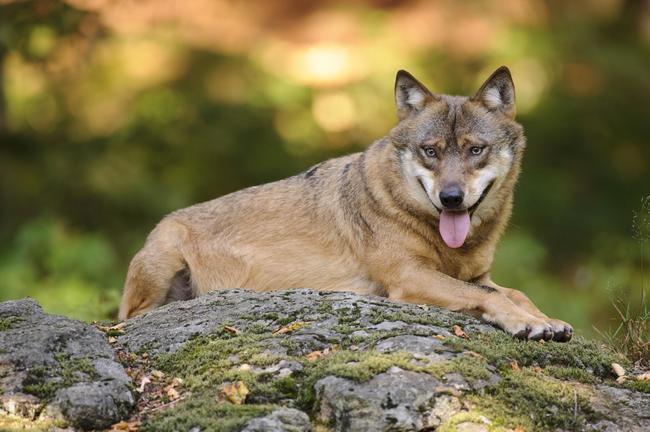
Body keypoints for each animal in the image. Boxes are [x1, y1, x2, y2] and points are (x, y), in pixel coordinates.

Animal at [117, 67, 572, 342]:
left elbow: (515, 292)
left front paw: (545, 320)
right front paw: (528, 324)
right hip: (163, 256)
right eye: (431, 151)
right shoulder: (409, 277)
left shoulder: (478, 276)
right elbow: (492, 298)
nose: (451, 198)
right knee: (131, 318)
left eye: (476, 150)